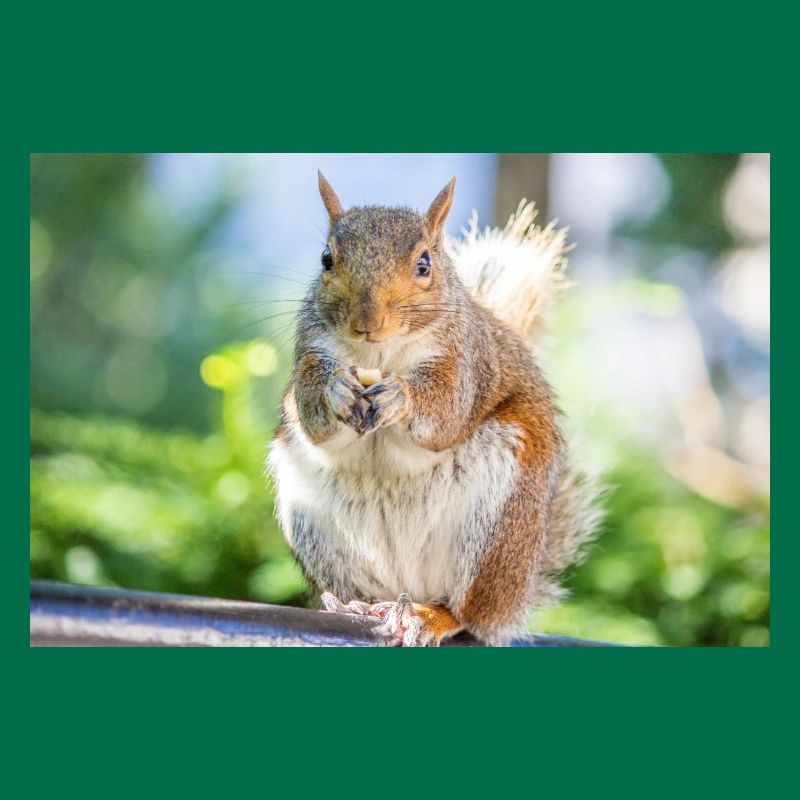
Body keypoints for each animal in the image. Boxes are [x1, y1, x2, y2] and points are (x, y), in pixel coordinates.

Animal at [267, 171, 601, 646]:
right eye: (327, 259)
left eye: (424, 264)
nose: (367, 322)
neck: (381, 355)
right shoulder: (312, 352)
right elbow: (313, 418)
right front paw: (336, 391)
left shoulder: (465, 363)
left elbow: (445, 414)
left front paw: (401, 396)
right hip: (316, 528)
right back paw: (358, 605)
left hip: (498, 530)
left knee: (468, 611)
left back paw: (429, 616)